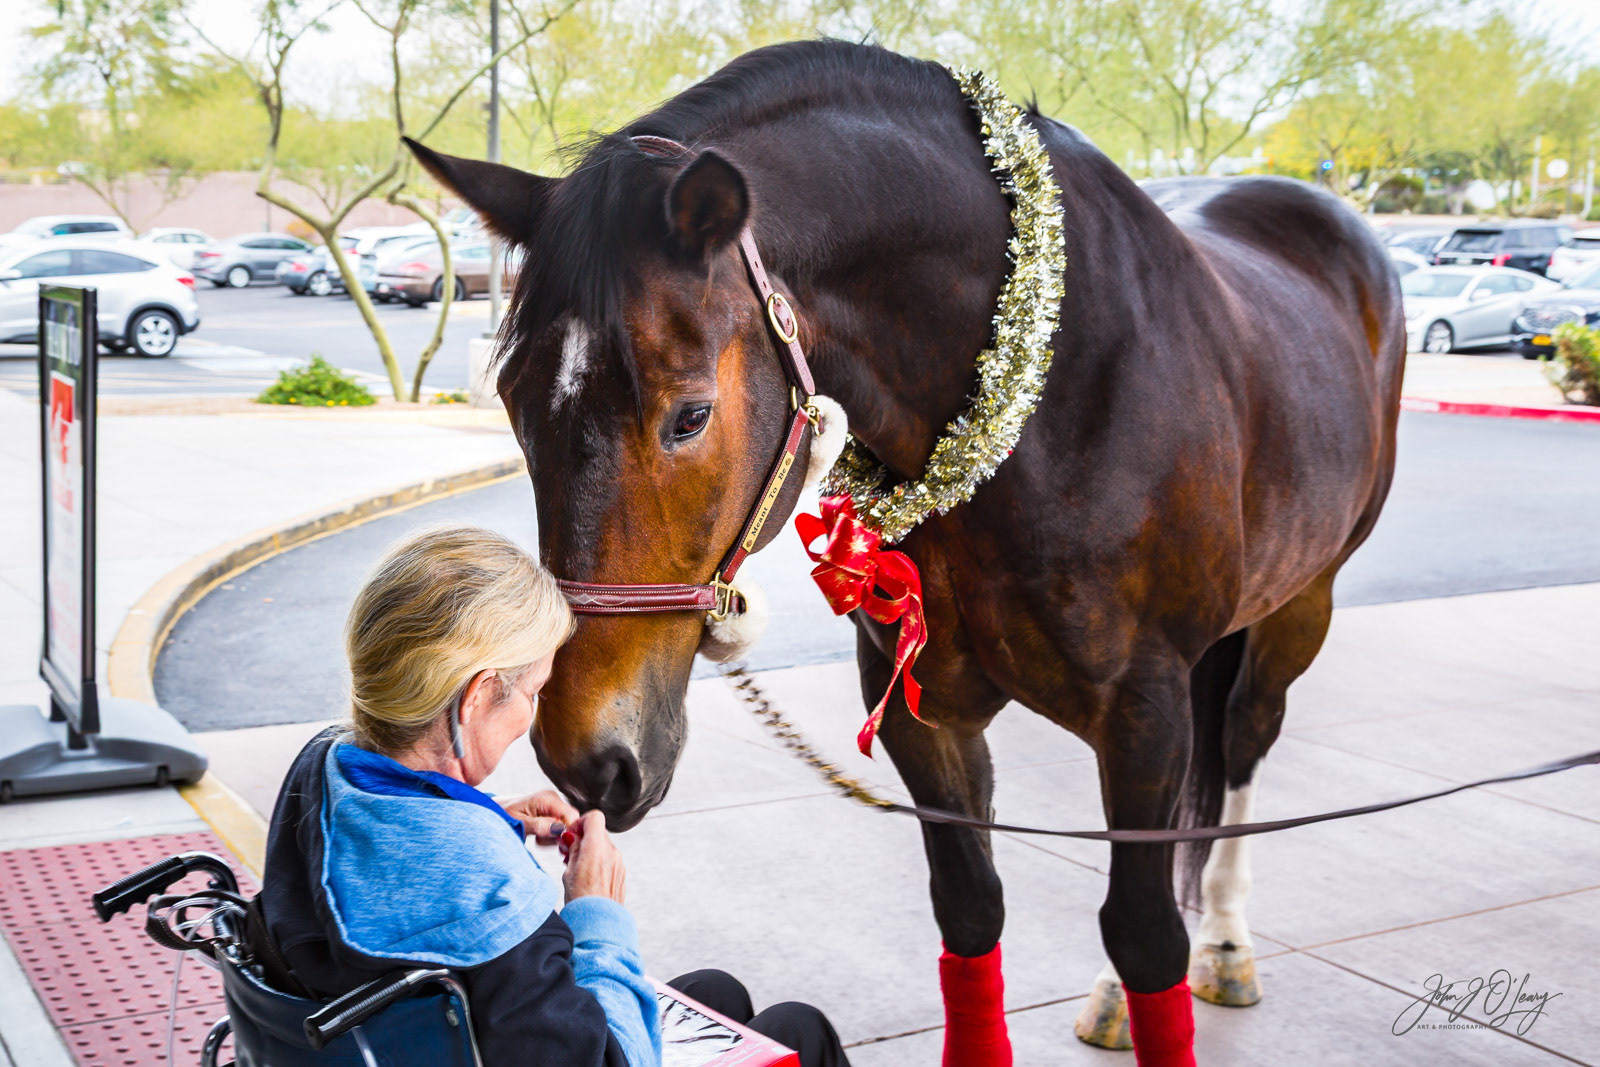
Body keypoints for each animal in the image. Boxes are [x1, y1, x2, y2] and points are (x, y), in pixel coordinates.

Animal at [406, 39, 1404, 1065]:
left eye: (690, 414)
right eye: (515, 401)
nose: (587, 758)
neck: (1033, 408)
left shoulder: (1146, 710)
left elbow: (1143, 933)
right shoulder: (925, 714)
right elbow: (968, 909)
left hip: (1302, 602)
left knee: (1241, 742)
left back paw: (1230, 941)